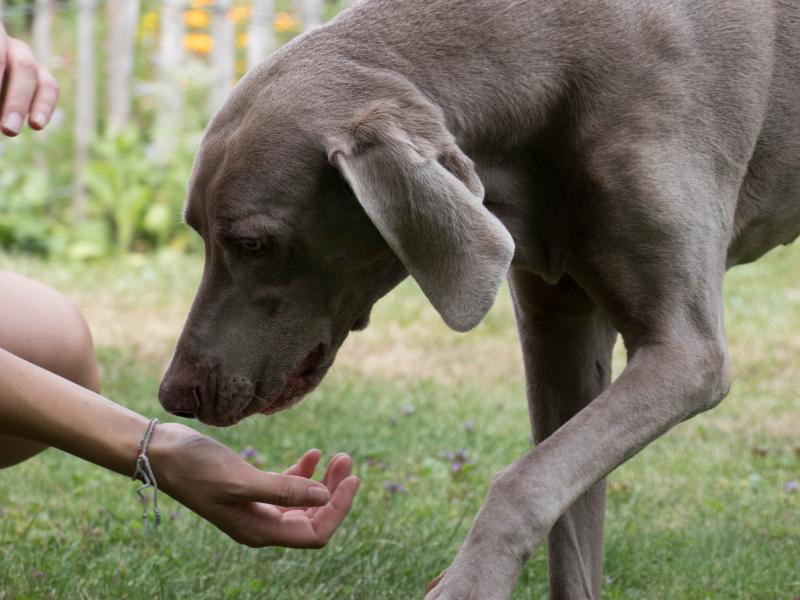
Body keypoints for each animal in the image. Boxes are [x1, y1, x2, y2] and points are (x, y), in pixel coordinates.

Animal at [158, 0, 800, 596]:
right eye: (198, 232)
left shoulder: (688, 355)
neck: (552, 62)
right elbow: (567, 518)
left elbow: (525, 479)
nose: (174, 396)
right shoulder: (560, 335)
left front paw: (468, 582)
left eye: (252, 242)